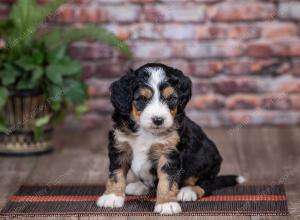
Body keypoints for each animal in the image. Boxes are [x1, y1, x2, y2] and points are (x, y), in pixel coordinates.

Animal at [96, 62, 246, 214]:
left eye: (171, 99)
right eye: (142, 99)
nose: (158, 120)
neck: (146, 131)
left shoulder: (169, 152)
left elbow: (167, 180)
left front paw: (166, 203)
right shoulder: (120, 146)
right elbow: (116, 173)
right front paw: (112, 197)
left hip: (209, 163)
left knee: (207, 185)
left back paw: (188, 191)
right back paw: (139, 186)